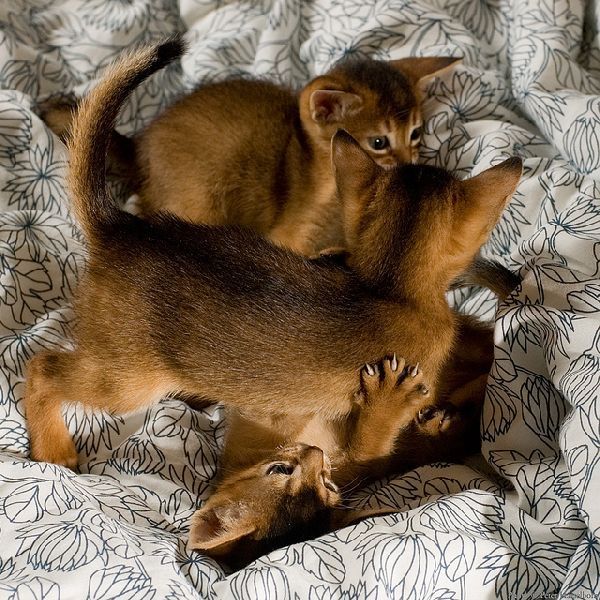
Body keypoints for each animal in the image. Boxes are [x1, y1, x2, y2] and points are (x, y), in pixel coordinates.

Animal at [41, 46, 460, 255]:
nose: (408, 164)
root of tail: (139, 147)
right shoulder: (289, 236)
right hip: (201, 203)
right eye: (378, 142)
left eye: (416, 133)